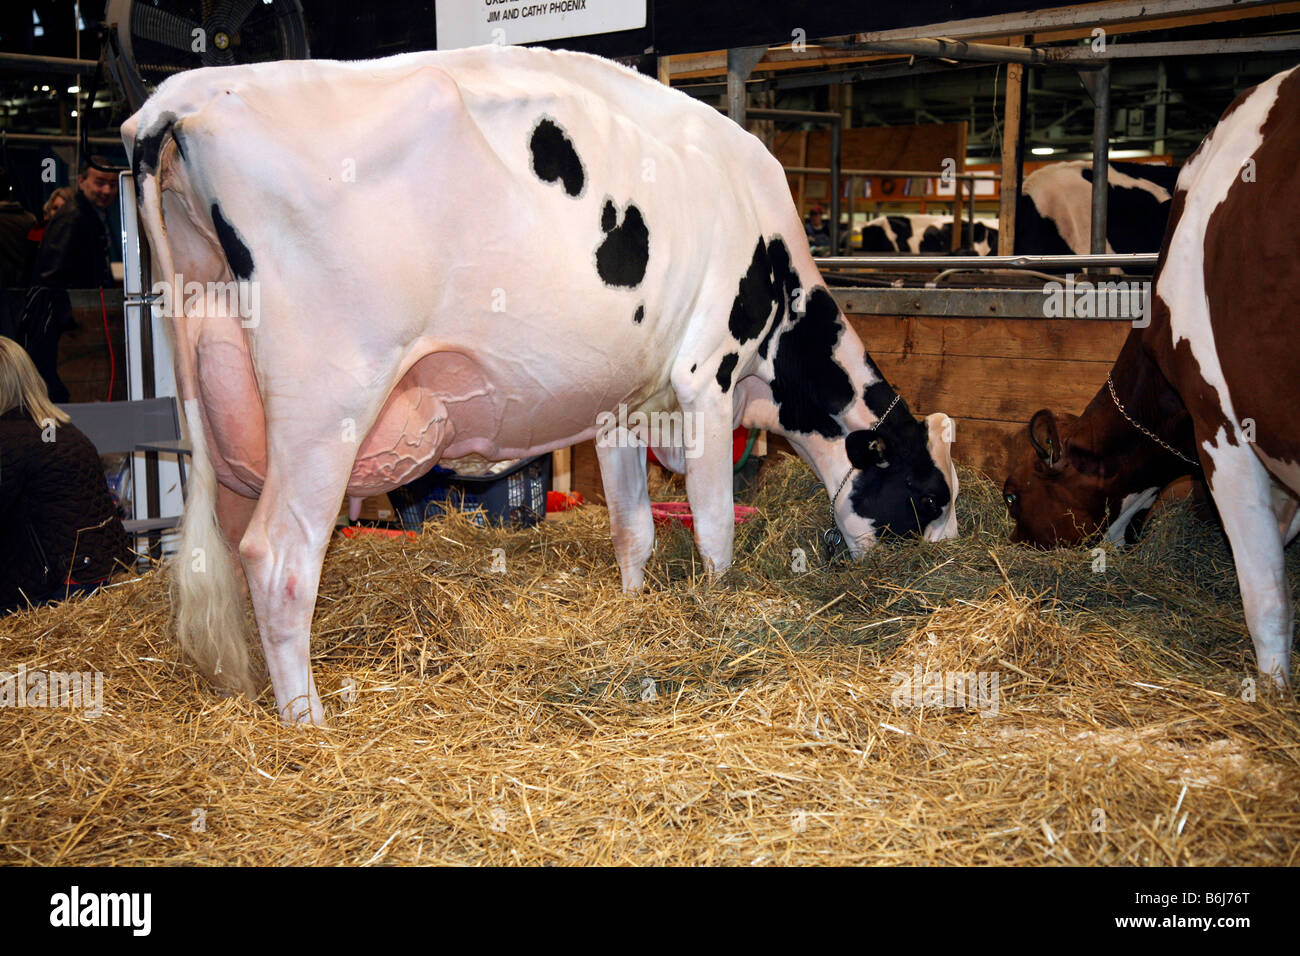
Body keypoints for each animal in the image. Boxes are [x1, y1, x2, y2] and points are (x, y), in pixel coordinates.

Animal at [122, 45, 960, 724]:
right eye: (930, 492)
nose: (947, 559)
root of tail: (187, 94)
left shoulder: (625, 401)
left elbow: (633, 528)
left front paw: (634, 605)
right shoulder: (706, 378)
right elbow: (715, 526)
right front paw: (720, 603)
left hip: (221, 399)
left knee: (228, 547)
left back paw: (249, 690)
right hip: (326, 399)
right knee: (279, 558)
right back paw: (307, 721)